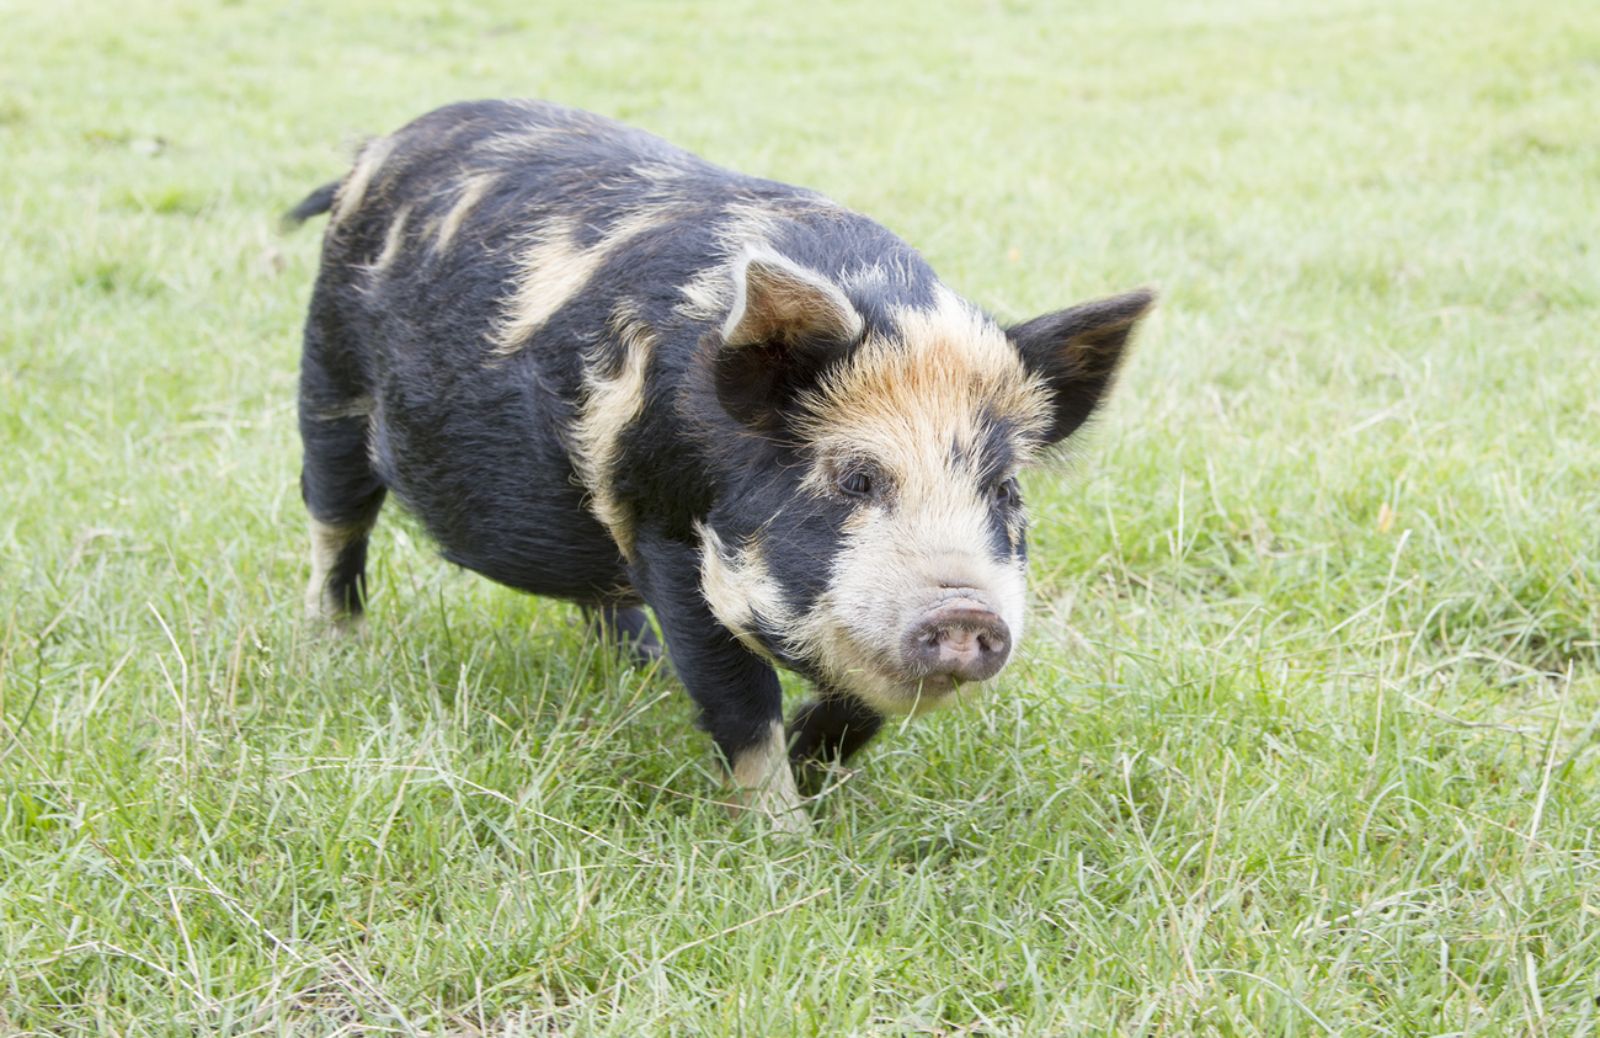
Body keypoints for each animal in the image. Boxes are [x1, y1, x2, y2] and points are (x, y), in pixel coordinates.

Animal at [288, 101, 1158, 831]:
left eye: (1004, 489)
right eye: (856, 477)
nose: (967, 613)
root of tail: (377, 149)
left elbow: (857, 706)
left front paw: (814, 774)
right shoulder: (666, 529)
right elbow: (739, 698)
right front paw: (786, 839)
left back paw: (642, 671)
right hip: (327, 380)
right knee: (335, 520)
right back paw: (336, 646)